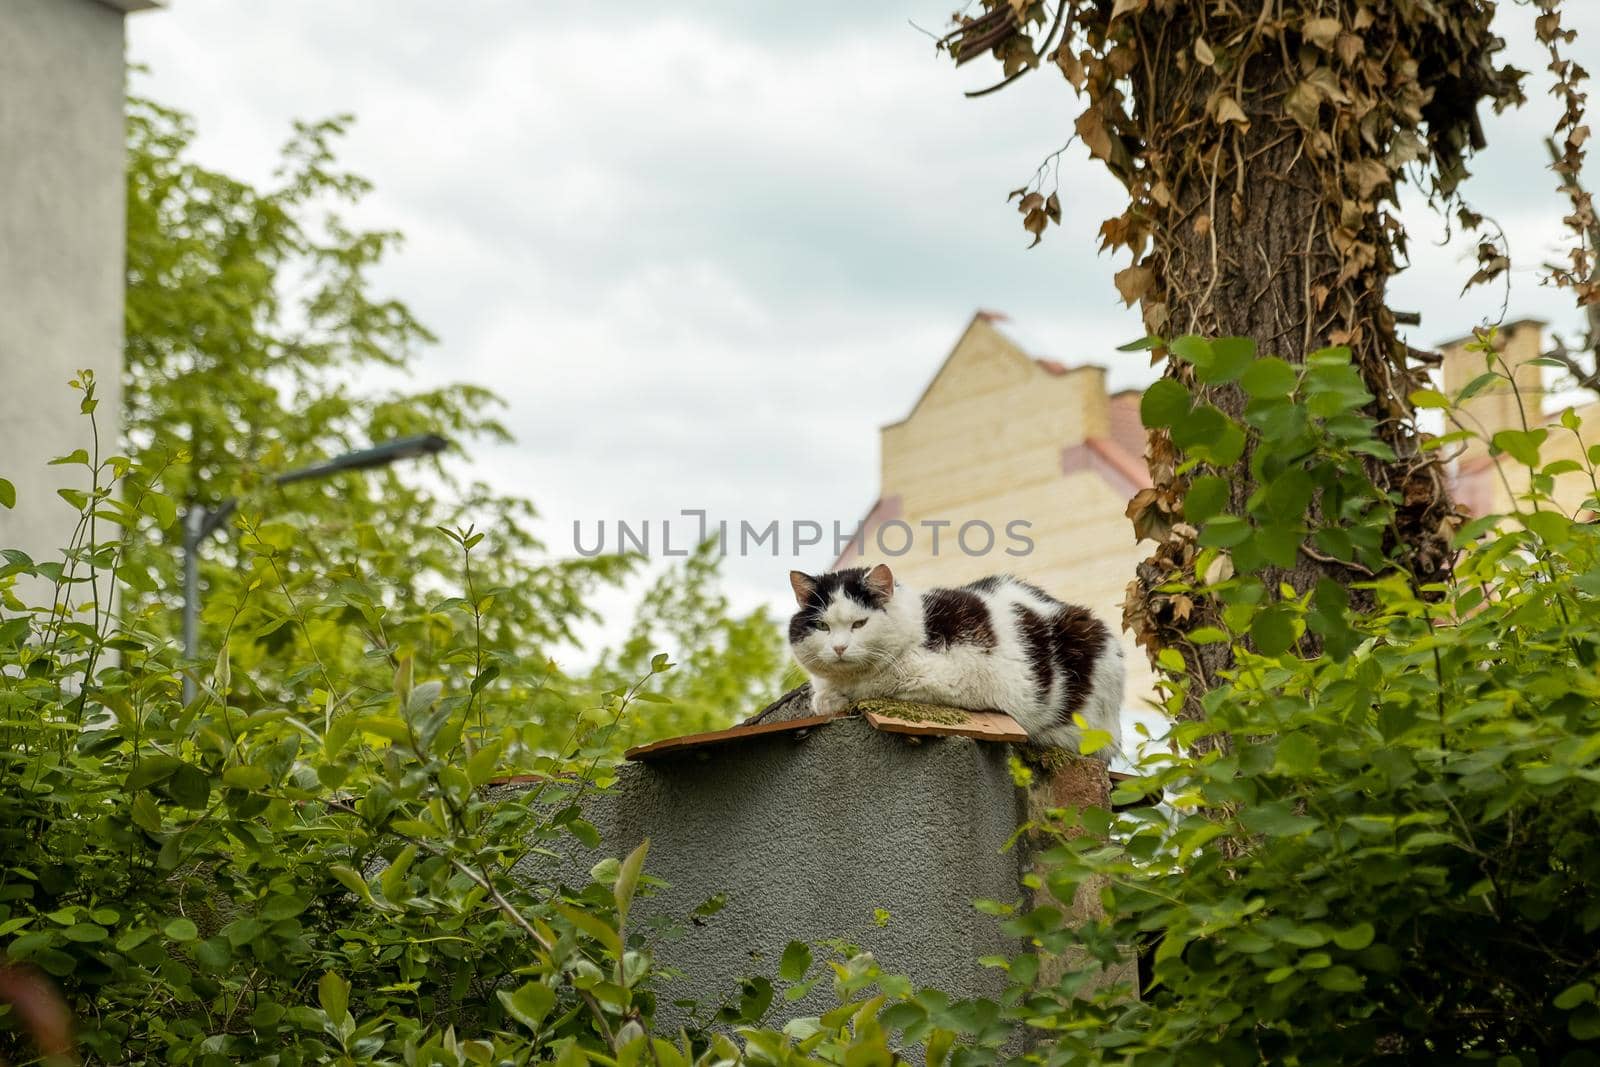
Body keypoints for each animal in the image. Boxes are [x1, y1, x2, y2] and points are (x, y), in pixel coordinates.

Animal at [787, 559, 1126, 758]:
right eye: (822, 626)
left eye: (859, 624)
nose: (839, 648)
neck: (920, 625)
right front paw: (825, 696)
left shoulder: (963, 678)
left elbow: (879, 684)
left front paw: (836, 697)